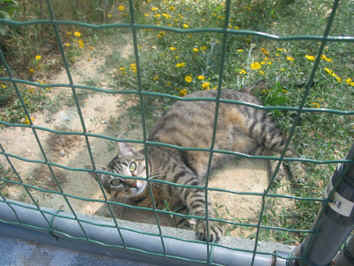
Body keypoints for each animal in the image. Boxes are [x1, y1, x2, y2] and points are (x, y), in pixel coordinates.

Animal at [97, 89, 304, 241]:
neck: (150, 194)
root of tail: (243, 89)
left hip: (260, 129)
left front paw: (208, 227)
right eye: (116, 182)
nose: (133, 183)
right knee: (274, 153)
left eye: (132, 166)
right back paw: (277, 174)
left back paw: (300, 175)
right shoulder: (176, 207)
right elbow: (181, 220)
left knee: (291, 149)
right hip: (247, 147)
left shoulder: (186, 179)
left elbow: (199, 203)